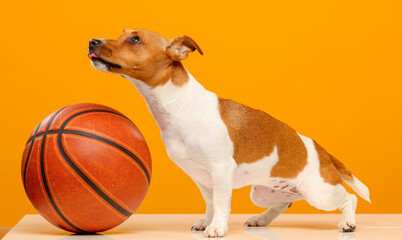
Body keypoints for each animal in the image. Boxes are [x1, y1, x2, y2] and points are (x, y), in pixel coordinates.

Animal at [88, 29, 370, 237]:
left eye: (135, 39)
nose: (92, 41)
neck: (177, 103)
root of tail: (322, 150)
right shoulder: (202, 177)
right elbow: (211, 202)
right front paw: (208, 221)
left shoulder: (220, 169)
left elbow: (222, 203)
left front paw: (217, 227)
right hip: (263, 192)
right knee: (284, 202)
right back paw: (260, 219)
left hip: (320, 193)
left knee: (349, 199)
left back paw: (347, 223)